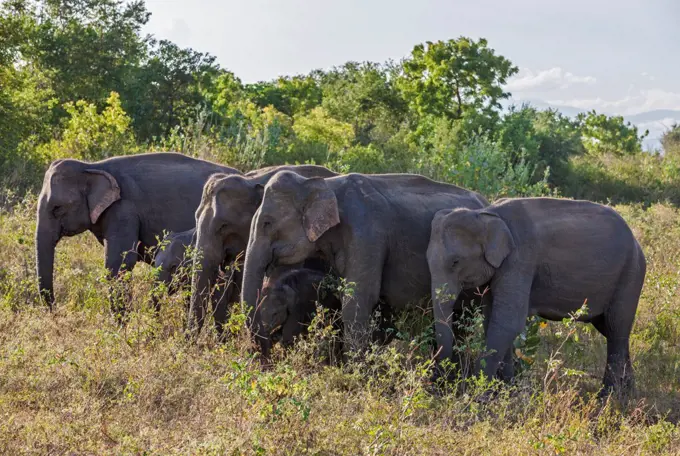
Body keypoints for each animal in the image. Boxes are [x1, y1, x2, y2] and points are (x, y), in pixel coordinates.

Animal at [242, 171, 492, 356]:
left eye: (267, 223)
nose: (265, 357)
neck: (324, 185)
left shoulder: (367, 236)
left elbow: (357, 300)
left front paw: (352, 372)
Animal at [428, 198, 644, 394]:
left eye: (456, 262)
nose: (442, 386)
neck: (486, 214)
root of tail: (636, 242)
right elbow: (492, 321)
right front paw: (507, 390)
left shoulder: (520, 259)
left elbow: (507, 322)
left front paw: (478, 394)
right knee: (611, 330)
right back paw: (628, 393)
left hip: (631, 276)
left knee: (616, 328)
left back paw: (607, 397)